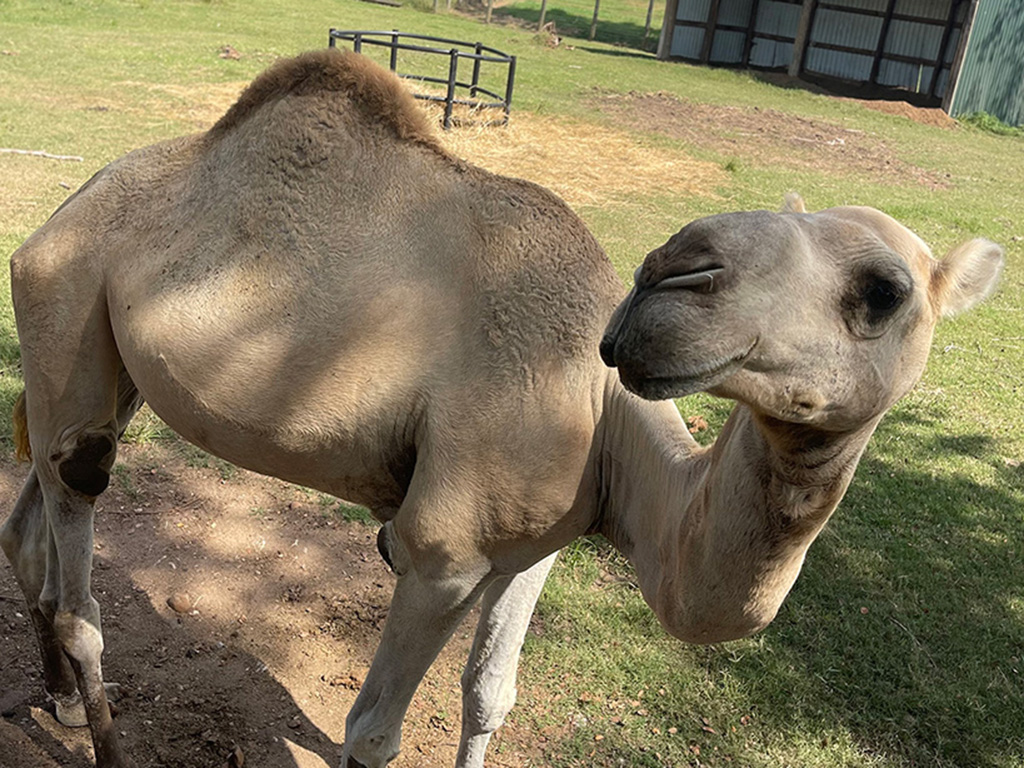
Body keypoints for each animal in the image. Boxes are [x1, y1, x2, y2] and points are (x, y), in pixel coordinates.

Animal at [4, 49, 1003, 768]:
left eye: (882, 291)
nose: (674, 270)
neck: (597, 406)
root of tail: (58, 215)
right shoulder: (439, 553)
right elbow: (371, 732)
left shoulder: (540, 540)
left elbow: (491, 698)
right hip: (68, 299)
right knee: (79, 519)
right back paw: (99, 730)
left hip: (103, 361)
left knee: (34, 515)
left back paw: (58, 696)